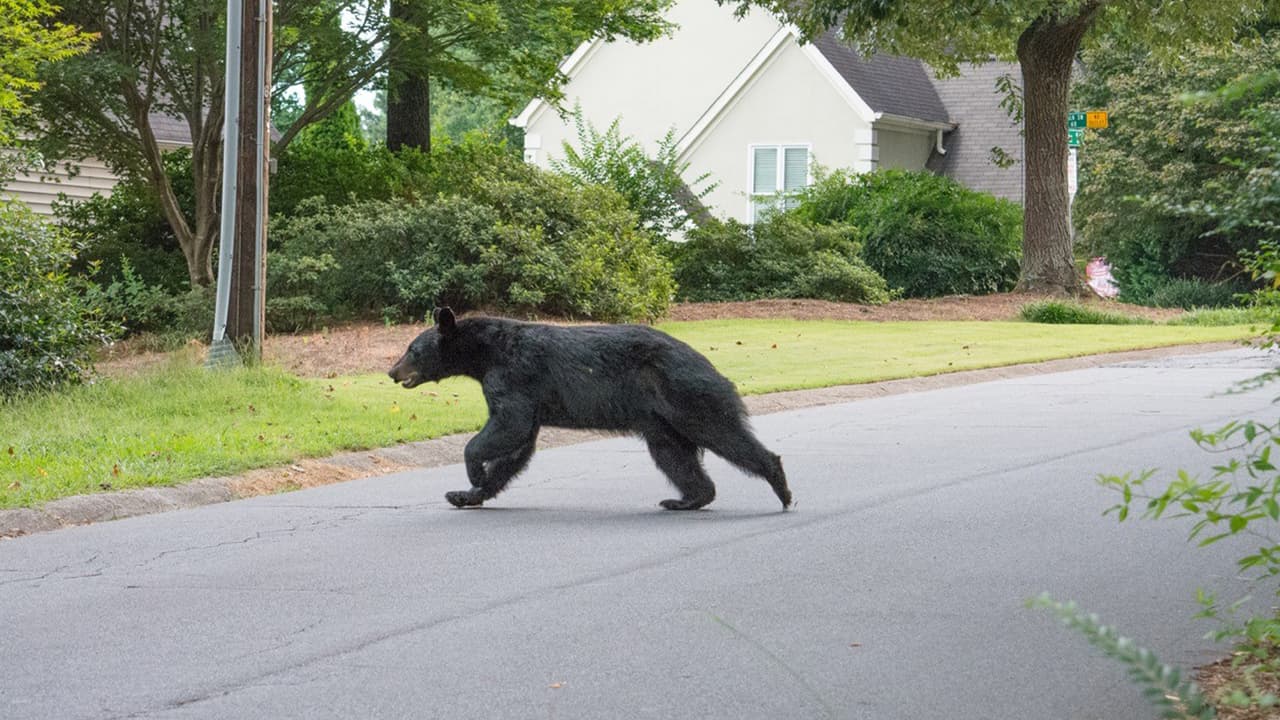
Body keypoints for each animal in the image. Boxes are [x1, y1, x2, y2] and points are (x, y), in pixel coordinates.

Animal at [388, 308, 791, 511]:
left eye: (412, 349)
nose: (392, 371)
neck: (486, 351)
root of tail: (710, 365)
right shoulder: (523, 391)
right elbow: (517, 446)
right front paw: (466, 493)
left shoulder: (515, 374)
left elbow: (508, 425)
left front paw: (473, 471)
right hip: (660, 420)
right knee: (673, 455)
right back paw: (688, 499)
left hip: (686, 395)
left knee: (722, 433)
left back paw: (780, 484)